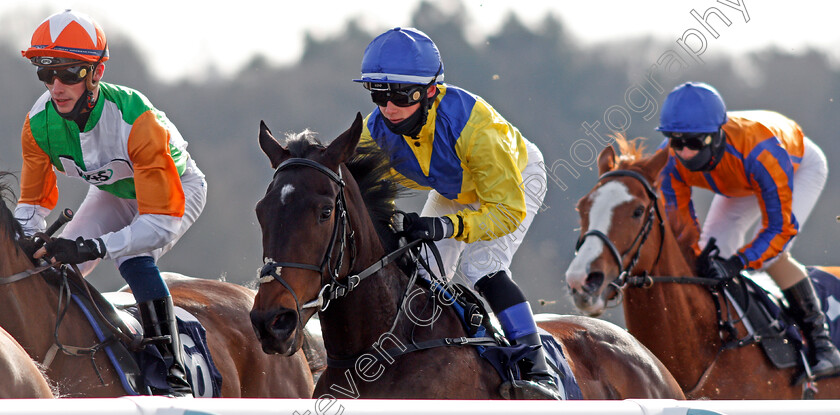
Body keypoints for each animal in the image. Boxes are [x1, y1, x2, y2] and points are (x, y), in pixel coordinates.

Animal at [248, 114, 684, 400]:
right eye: (261, 211)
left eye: (324, 212)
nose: (272, 321)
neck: (379, 353)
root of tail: (650, 360)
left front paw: (425, 227)